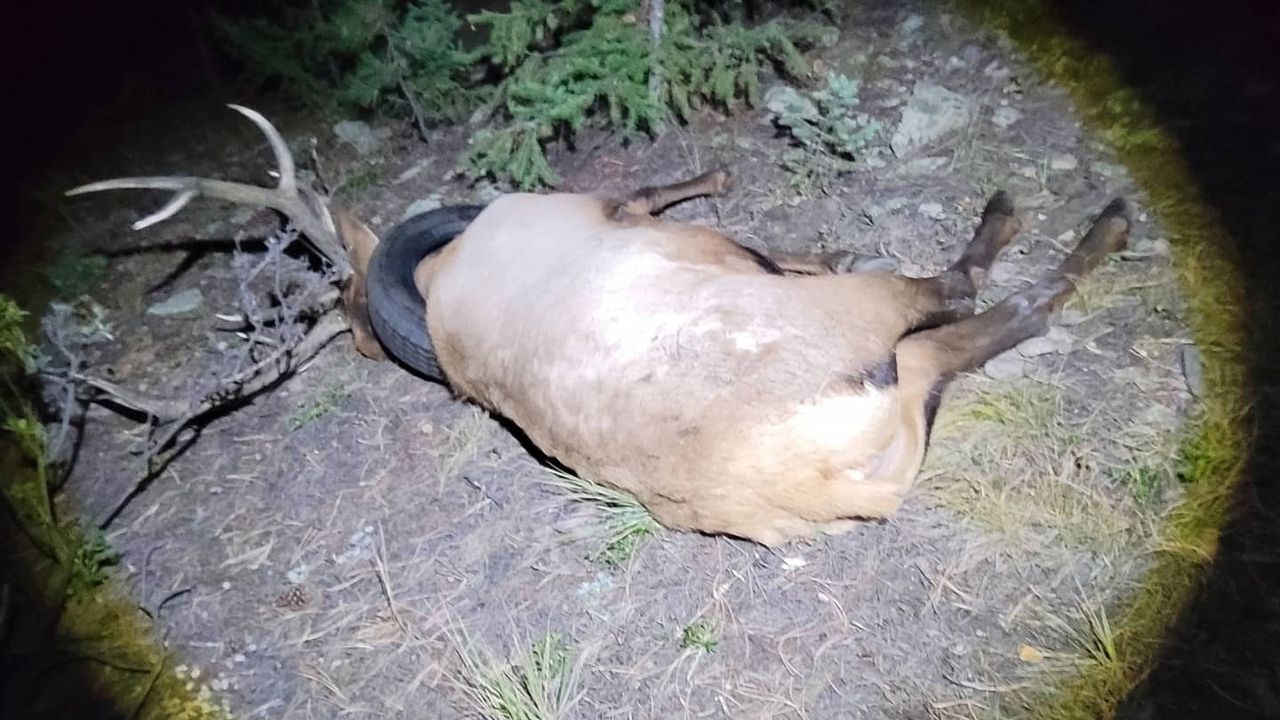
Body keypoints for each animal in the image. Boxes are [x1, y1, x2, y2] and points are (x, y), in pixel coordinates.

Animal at [70, 106, 1131, 546]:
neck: (436, 266)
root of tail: (823, 480)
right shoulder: (609, 212)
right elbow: (669, 194)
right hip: (866, 330)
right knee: (969, 295)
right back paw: (1082, 223)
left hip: (897, 397)